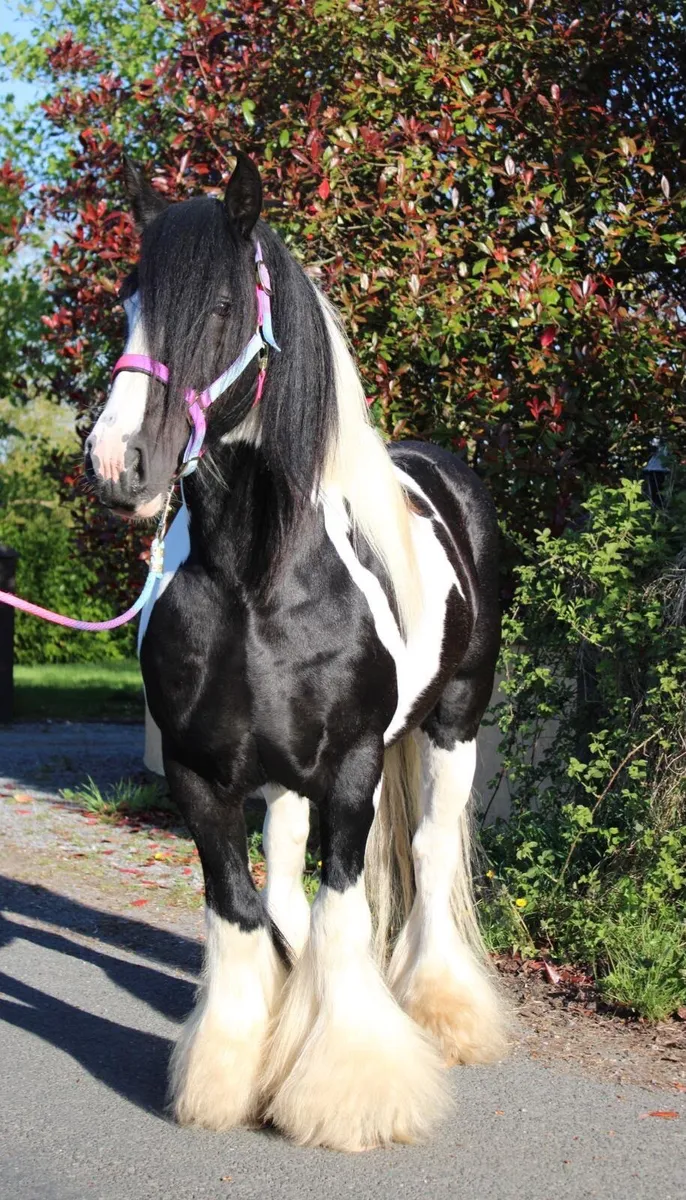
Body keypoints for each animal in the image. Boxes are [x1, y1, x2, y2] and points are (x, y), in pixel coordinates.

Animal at [84, 151, 507, 1151]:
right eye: (126, 303)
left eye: (221, 306)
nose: (119, 465)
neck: (256, 579)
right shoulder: (199, 772)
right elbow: (241, 909)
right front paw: (233, 1071)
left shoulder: (353, 768)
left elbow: (343, 908)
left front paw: (350, 1089)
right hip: (278, 769)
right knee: (281, 858)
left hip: (455, 724)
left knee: (432, 850)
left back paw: (446, 1013)